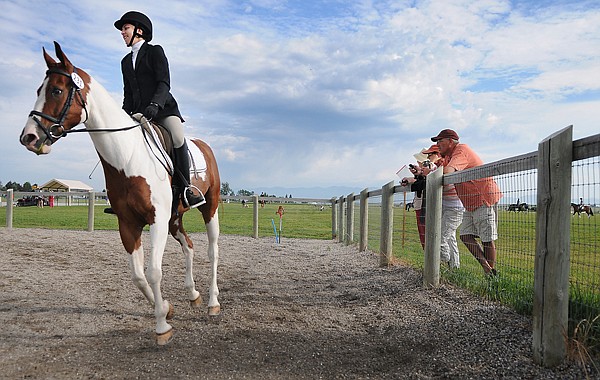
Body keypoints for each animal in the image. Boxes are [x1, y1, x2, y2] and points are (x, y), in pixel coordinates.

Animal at [18, 43, 221, 346]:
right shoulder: (127, 223)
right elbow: (137, 276)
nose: (28, 138)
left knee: (212, 251)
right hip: (175, 218)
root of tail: (204, 145)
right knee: (189, 246)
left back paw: (212, 303)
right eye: (38, 90)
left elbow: (153, 272)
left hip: (210, 208)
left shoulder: (156, 221)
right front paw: (165, 309)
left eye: (56, 90)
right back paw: (193, 294)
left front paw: (162, 327)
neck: (127, 158)